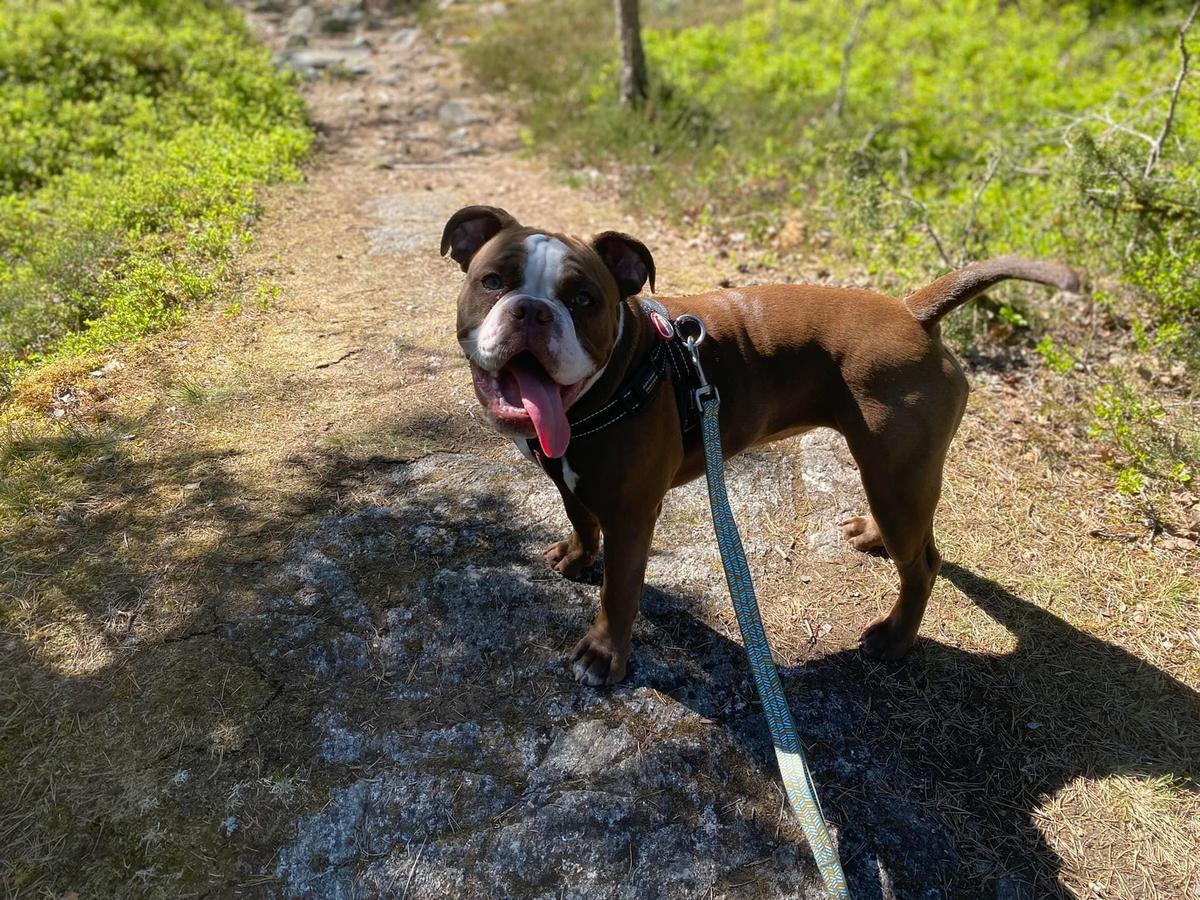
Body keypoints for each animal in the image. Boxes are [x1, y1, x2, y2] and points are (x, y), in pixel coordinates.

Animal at [441, 207, 1080, 686]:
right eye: (492, 281)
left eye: (583, 300)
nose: (532, 310)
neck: (616, 376)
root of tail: (911, 311)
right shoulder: (569, 478)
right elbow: (579, 519)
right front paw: (576, 558)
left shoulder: (631, 516)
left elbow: (619, 591)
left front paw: (604, 655)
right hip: (899, 473)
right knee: (914, 532)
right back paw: (874, 537)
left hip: (897, 472)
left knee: (922, 563)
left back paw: (895, 638)